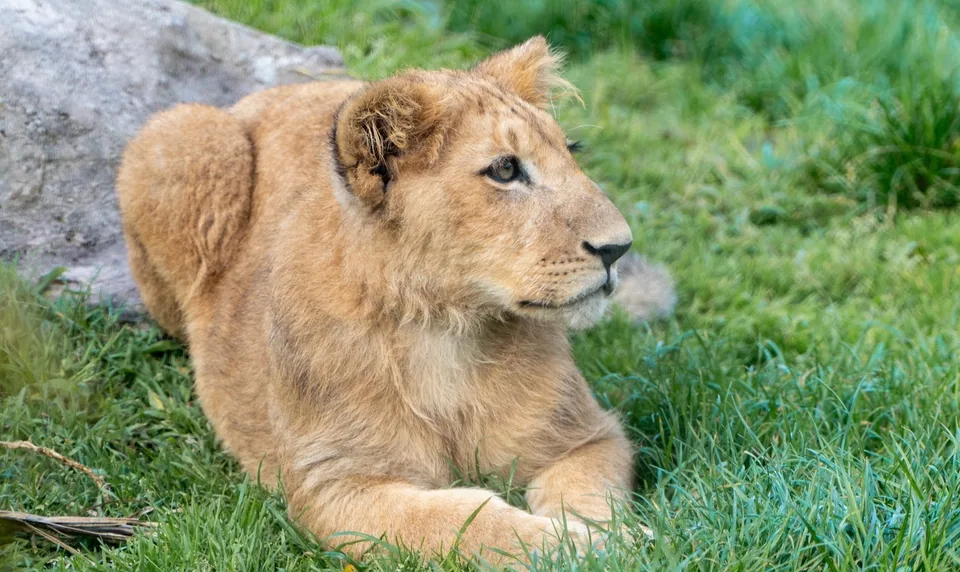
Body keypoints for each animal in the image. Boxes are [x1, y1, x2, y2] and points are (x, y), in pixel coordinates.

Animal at [116, 37, 667, 564]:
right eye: (506, 169)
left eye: (571, 150)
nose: (619, 248)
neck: (446, 327)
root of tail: (274, 92)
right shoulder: (333, 486)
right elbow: (465, 523)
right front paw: (587, 547)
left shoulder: (587, 436)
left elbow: (586, 496)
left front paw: (608, 536)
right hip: (177, 133)